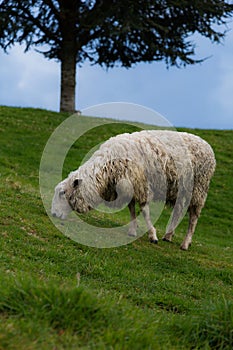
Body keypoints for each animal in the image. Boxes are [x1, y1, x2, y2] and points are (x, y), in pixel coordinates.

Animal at [52, 130, 216, 250]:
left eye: (62, 193)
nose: (53, 214)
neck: (107, 169)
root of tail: (207, 145)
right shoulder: (128, 187)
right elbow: (131, 209)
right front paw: (132, 230)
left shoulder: (141, 185)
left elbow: (145, 211)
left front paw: (152, 235)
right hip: (181, 190)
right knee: (178, 210)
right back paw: (169, 235)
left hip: (198, 188)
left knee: (193, 217)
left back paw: (185, 243)